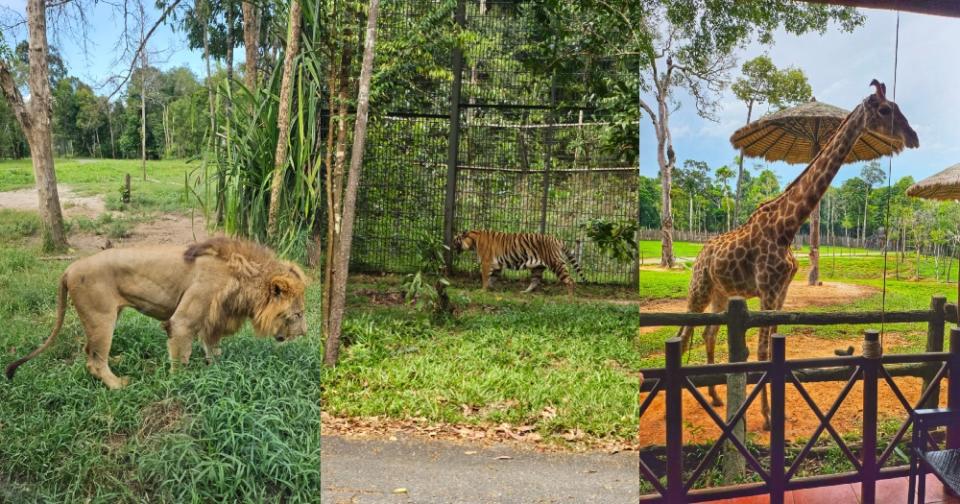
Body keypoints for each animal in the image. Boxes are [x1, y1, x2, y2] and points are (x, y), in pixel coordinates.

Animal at [3, 237, 308, 390]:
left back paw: (118, 359)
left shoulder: (213, 320)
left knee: (88, 351)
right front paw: (181, 386)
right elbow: (181, 359)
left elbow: (213, 350)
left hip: (104, 318)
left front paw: (220, 371)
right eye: (298, 315)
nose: (305, 334)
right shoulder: (183, 321)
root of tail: (68, 269)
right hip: (101, 317)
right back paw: (118, 384)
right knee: (94, 361)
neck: (242, 278)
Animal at [452, 229, 584, 296]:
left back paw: (569, 298)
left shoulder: (486, 262)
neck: (473, 240)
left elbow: (485, 277)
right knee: (535, 281)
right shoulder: (497, 266)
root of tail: (557, 239)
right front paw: (490, 288)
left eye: (455, 240)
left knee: (570, 281)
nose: (450, 246)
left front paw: (483, 290)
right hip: (537, 268)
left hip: (555, 263)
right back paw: (524, 292)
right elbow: (492, 278)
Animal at [680, 81, 920, 430]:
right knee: (684, 334)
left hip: (721, 294)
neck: (787, 227)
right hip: (699, 289)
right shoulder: (767, 289)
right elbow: (762, 351)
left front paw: (771, 412)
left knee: (708, 333)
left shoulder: (781, 291)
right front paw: (767, 417)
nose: (913, 137)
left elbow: (772, 349)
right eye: (886, 109)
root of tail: (700, 254)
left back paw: (713, 396)